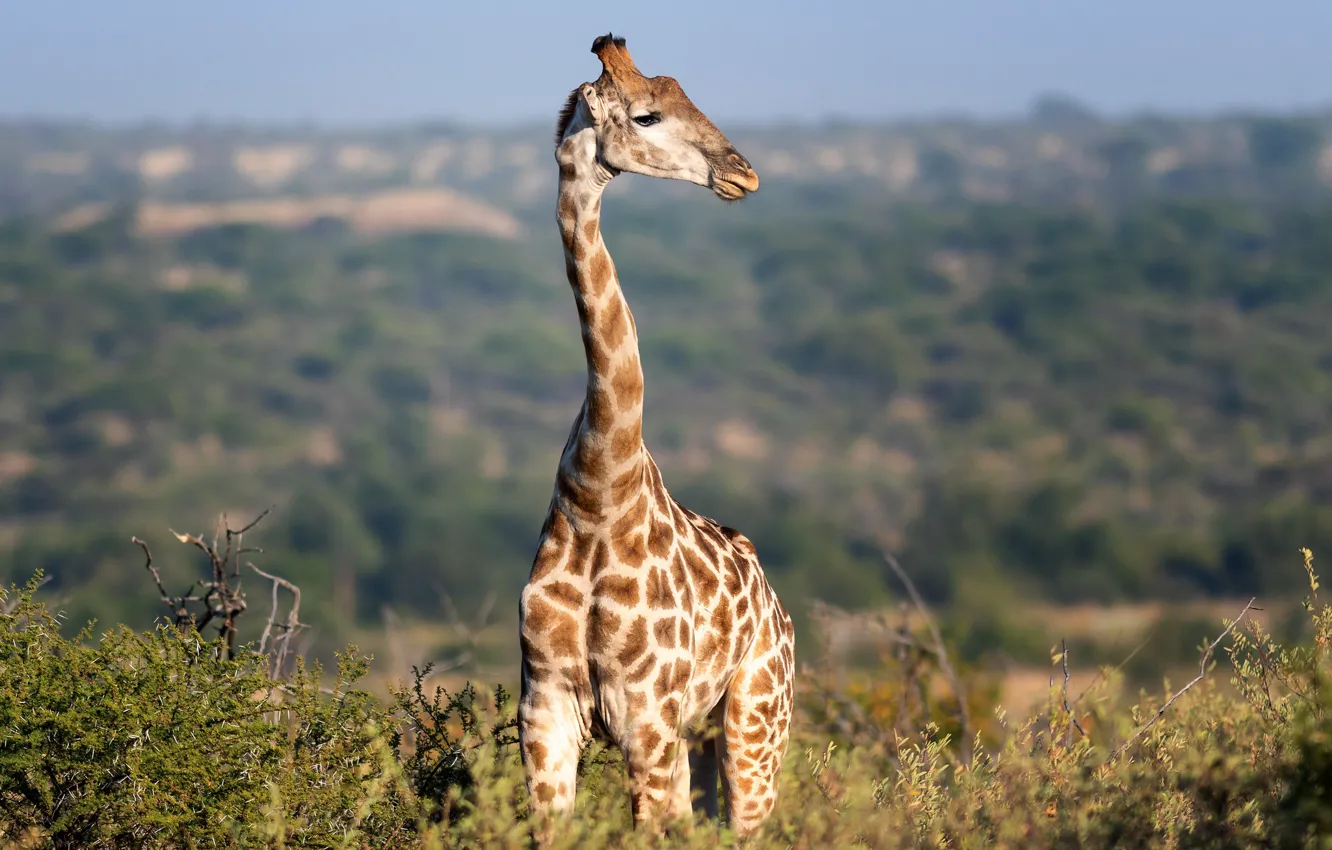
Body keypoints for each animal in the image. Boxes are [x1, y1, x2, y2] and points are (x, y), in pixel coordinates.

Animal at [518, 33, 796, 841]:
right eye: (646, 115)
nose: (744, 173)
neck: (597, 493)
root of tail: (776, 605)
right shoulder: (544, 711)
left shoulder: (646, 718)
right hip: (697, 741)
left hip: (753, 726)